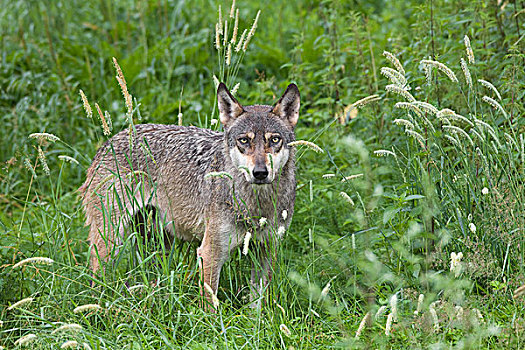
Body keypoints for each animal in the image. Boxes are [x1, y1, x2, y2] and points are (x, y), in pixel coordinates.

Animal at [78, 82, 298, 306]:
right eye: (244, 141)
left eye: (275, 139)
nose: (260, 172)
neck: (256, 203)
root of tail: (110, 141)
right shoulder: (210, 253)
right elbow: (210, 305)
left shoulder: (266, 251)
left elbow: (258, 304)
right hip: (111, 242)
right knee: (97, 279)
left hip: (158, 242)